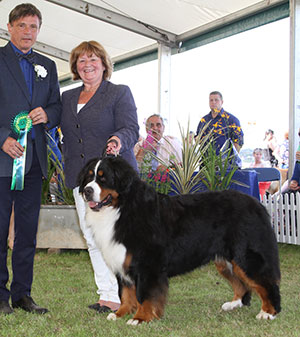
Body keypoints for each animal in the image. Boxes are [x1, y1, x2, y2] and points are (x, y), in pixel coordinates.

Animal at [78, 155, 282, 322]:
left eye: (103, 178)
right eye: (89, 177)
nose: (87, 191)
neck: (121, 208)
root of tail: (256, 203)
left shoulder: (147, 264)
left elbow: (144, 294)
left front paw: (141, 318)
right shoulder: (122, 259)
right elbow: (126, 293)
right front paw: (121, 313)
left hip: (246, 257)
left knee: (266, 283)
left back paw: (268, 312)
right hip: (226, 260)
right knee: (241, 284)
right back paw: (235, 303)